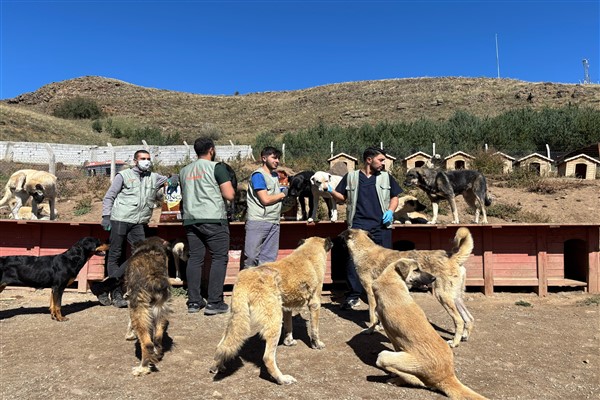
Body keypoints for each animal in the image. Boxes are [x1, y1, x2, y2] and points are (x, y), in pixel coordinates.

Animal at [123, 236, 172, 376]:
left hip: (139, 309)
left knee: (147, 344)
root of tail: (154, 279)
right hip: (161, 309)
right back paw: (157, 354)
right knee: (157, 338)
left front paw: (129, 334)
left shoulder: (131, 302)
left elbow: (129, 322)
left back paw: (142, 368)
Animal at [342, 228, 474, 346]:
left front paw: (370, 330)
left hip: (442, 296)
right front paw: (379, 327)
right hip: (456, 298)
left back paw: (454, 342)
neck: (364, 249)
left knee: (459, 320)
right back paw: (464, 336)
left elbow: (372, 316)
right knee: (469, 318)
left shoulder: (370, 293)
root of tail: (453, 258)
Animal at [372, 260, 490, 400]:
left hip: (384, 356)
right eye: (416, 270)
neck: (392, 278)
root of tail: (448, 375)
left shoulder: (391, 335)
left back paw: (396, 380)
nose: (434, 278)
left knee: (418, 381)